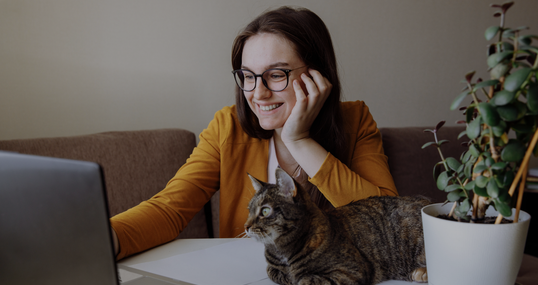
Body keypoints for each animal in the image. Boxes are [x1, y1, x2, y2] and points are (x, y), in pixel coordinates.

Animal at [245, 168, 430, 282]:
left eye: (265, 211)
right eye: (249, 210)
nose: (246, 226)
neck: (281, 250)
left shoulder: (349, 271)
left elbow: (306, 279)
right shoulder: (273, 269)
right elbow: (275, 273)